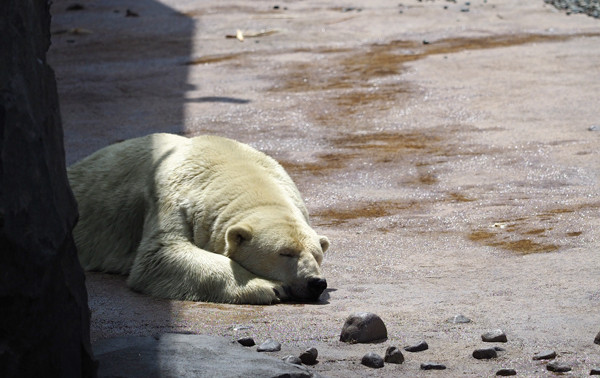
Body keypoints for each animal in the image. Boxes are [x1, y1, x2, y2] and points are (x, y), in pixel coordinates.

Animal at [68, 134, 330, 304]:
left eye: (317, 254)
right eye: (285, 253)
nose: (316, 282)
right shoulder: (172, 200)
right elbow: (162, 253)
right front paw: (270, 287)